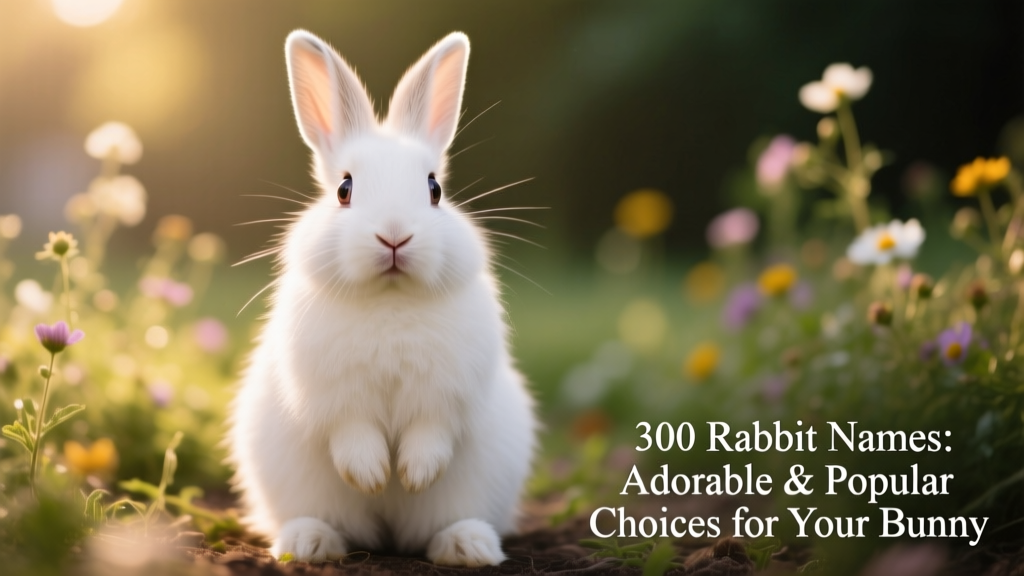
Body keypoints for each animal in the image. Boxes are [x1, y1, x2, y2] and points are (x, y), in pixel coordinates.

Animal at [226, 29, 536, 567]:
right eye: (344, 189)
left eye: (434, 189)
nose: (394, 236)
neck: (390, 299)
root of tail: (390, 536)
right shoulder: (333, 395)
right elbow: (352, 434)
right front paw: (372, 476)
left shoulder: (447, 394)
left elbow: (431, 433)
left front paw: (412, 476)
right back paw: (309, 543)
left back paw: (467, 546)